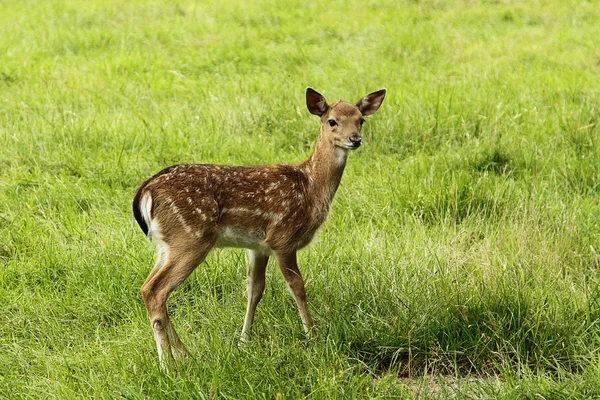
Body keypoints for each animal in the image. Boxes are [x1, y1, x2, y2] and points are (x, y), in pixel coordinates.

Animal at [132, 87, 384, 366]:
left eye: (361, 120)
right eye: (332, 121)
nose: (355, 139)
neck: (310, 188)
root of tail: (145, 191)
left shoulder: (258, 247)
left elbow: (254, 290)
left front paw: (244, 342)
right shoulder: (283, 238)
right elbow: (298, 287)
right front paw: (313, 336)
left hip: (167, 244)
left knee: (148, 288)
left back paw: (184, 354)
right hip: (190, 237)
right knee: (156, 291)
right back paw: (168, 365)